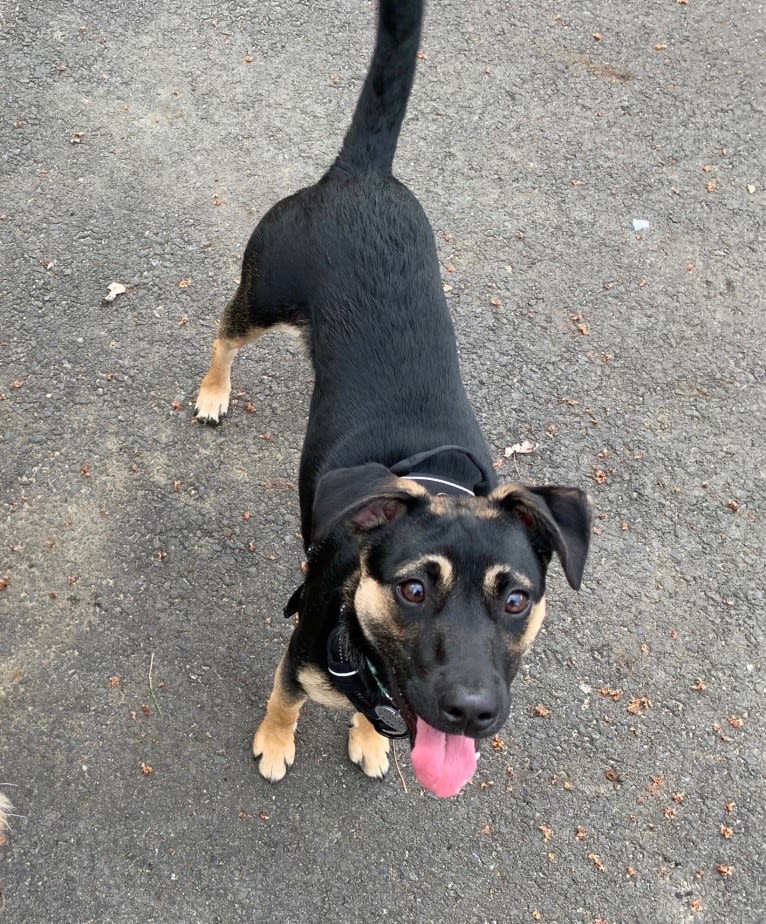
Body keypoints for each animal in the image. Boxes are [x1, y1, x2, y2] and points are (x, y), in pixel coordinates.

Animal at [194, 0, 592, 796]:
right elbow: (283, 699)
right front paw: (275, 743)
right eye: (412, 590)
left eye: (516, 599)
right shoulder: (301, 650)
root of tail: (361, 172)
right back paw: (213, 391)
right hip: (266, 289)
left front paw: (369, 739)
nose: (471, 712)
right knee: (224, 331)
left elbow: (375, 717)